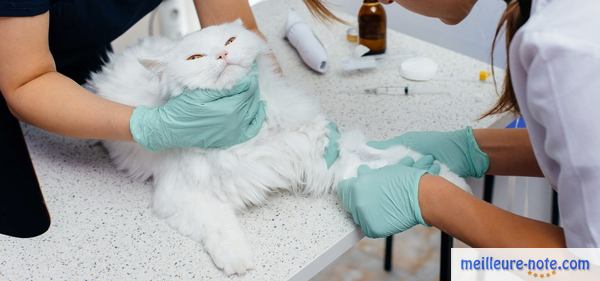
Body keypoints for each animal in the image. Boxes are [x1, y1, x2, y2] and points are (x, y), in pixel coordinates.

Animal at [85, 20, 468, 274]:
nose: (222, 53)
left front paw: (445, 179)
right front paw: (237, 260)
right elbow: (218, 224)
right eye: (195, 58)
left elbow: (384, 159)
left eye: (230, 39)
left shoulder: (321, 149)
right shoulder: (180, 195)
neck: (248, 132)